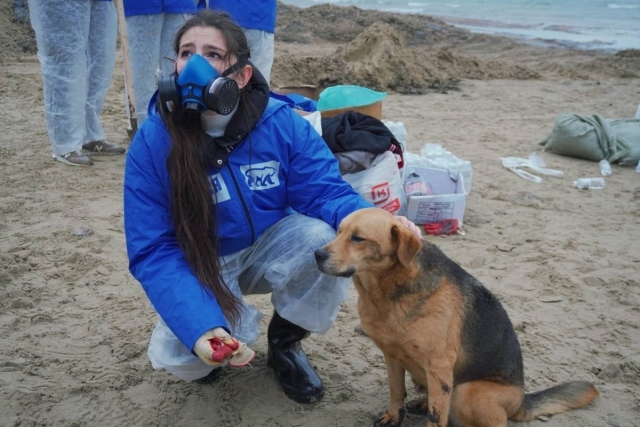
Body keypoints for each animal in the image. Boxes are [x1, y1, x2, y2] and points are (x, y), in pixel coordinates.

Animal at [316, 209, 600, 426]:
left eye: (358, 238)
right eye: (339, 231)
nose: (317, 255)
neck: (386, 291)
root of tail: (520, 403)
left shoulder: (439, 367)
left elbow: (436, 418)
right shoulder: (392, 355)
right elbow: (396, 391)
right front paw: (393, 417)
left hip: (468, 393)